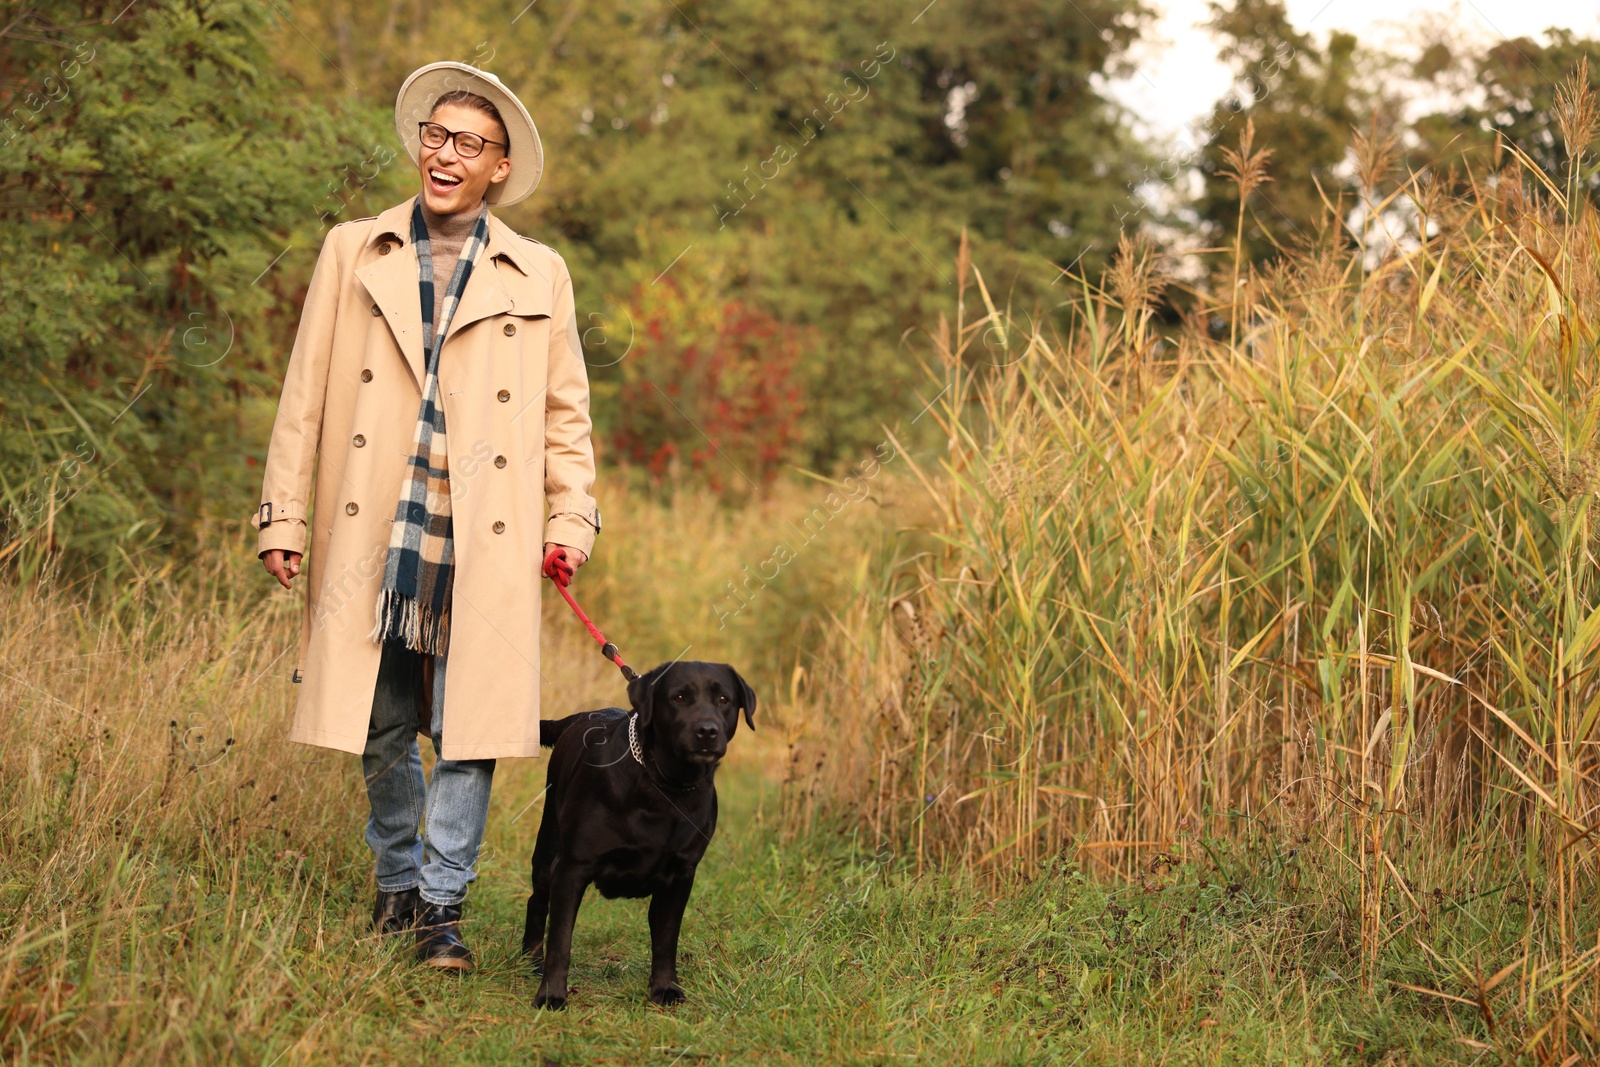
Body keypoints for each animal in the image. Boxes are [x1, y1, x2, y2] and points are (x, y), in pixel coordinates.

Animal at [521, 659, 752, 1011]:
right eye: (679, 697)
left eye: (724, 700)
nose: (707, 730)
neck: (665, 786)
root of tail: (578, 717)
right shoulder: (572, 867)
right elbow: (560, 939)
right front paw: (551, 995)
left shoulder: (681, 875)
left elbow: (667, 939)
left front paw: (665, 988)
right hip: (549, 847)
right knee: (537, 901)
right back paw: (529, 961)